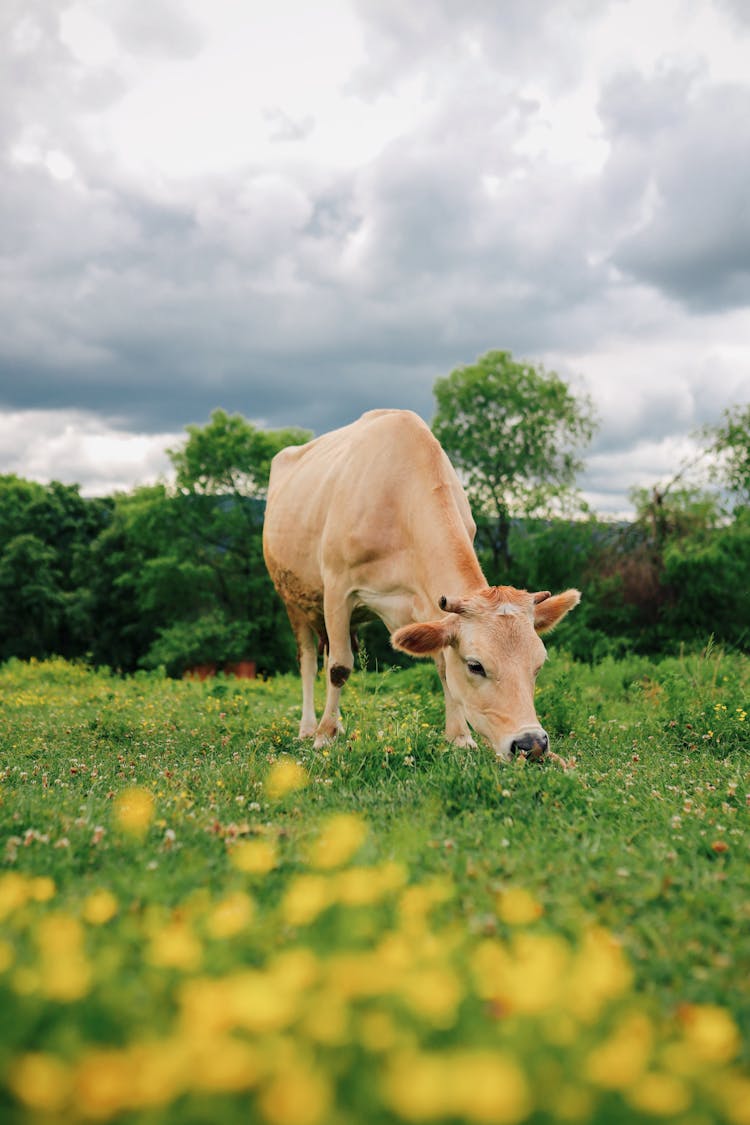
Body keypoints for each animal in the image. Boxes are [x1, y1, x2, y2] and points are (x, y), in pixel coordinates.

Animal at [264, 409, 580, 760]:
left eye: (538, 665)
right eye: (476, 666)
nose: (532, 744)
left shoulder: (432, 605)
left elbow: (442, 665)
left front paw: (459, 736)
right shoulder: (337, 588)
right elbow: (339, 667)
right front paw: (325, 736)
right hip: (293, 599)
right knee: (308, 660)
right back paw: (309, 728)